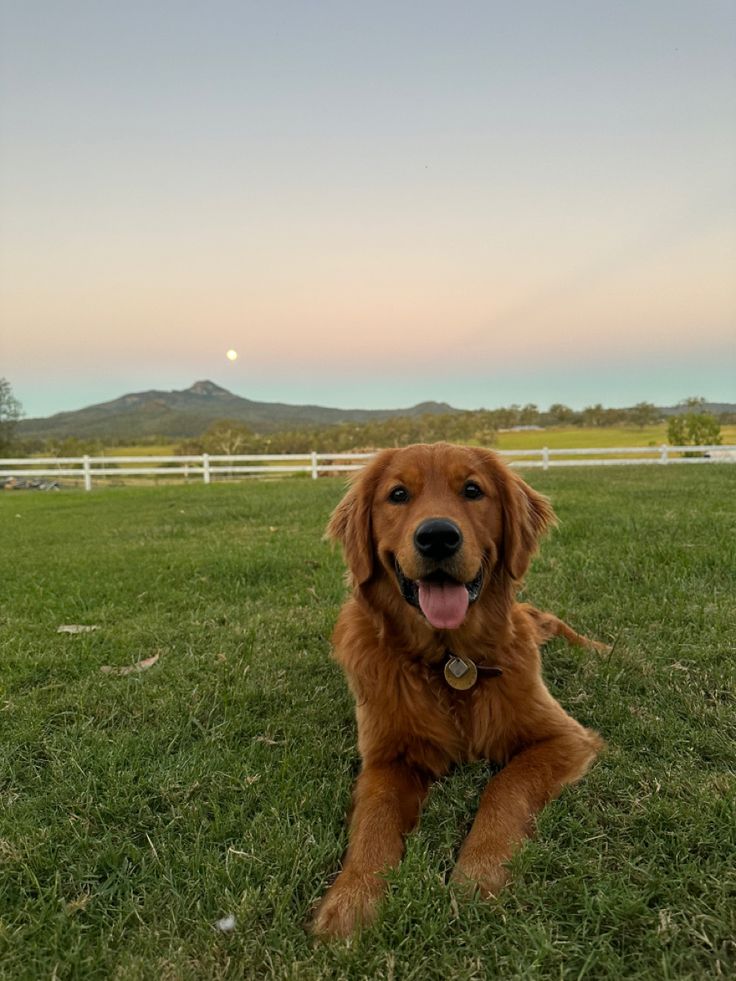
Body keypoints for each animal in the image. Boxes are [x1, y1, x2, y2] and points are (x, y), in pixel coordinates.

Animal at [310, 440, 604, 936]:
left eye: (472, 490)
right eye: (398, 495)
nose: (437, 537)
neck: (450, 659)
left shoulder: (563, 736)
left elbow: (506, 786)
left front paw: (481, 869)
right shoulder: (386, 756)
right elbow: (374, 818)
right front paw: (352, 897)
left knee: (555, 624)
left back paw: (604, 650)